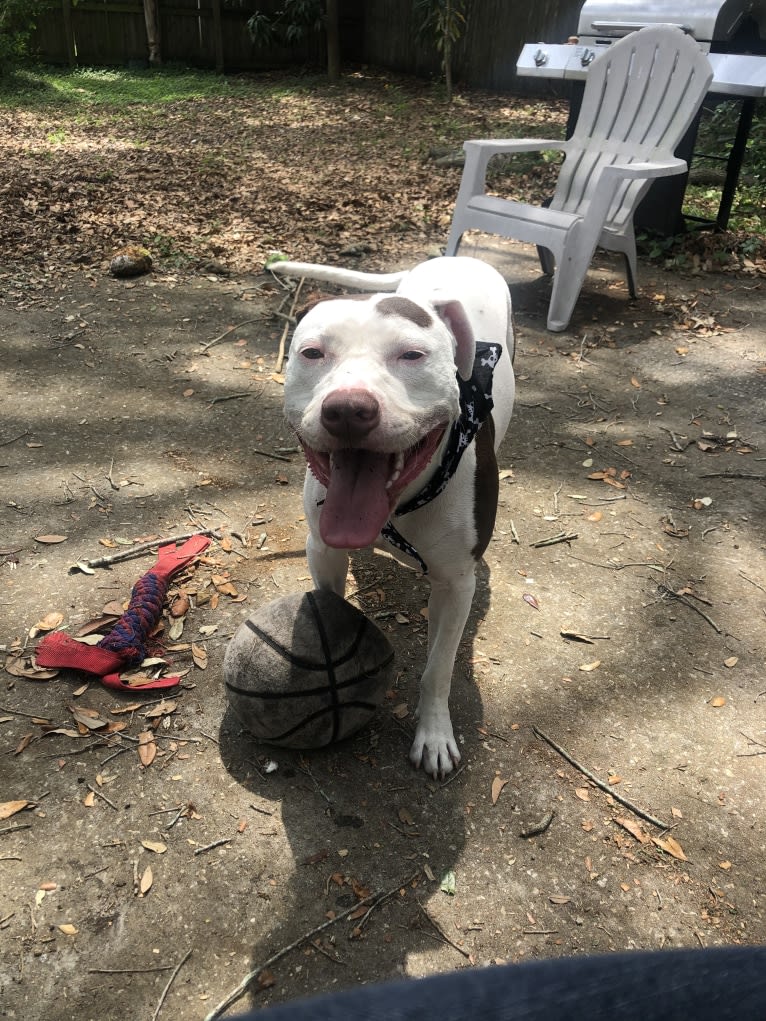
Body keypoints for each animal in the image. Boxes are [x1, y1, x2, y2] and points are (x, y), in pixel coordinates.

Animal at [273, 253, 518, 771]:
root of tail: (457, 256)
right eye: (312, 353)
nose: (348, 409)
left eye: (412, 355)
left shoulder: (455, 585)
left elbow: (438, 668)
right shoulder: (323, 548)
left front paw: (435, 733)